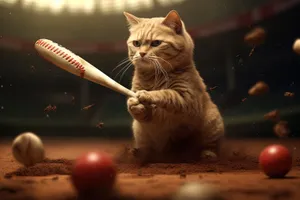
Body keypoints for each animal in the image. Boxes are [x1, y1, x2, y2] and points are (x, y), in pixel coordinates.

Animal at [123, 10, 224, 161]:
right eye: (136, 43)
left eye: (156, 43)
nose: (141, 53)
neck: (155, 76)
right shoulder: (146, 119)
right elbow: (141, 113)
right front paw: (134, 104)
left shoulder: (187, 99)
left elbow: (166, 93)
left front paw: (147, 94)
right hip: (139, 132)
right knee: (148, 150)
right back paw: (138, 154)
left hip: (212, 122)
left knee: (210, 145)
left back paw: (207, 155)